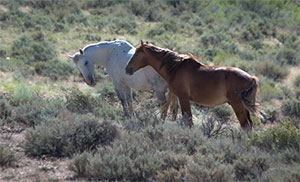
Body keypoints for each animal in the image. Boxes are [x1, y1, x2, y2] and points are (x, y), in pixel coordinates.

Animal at [125, 41, 258, 129]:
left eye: (137, 53)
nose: (127, 69)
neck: (175, 67)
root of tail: (251, 78)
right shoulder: (175, 95)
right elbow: (171, 113)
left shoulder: (183, 97)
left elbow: (188, 120)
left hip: (237, 105)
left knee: (245, 126)